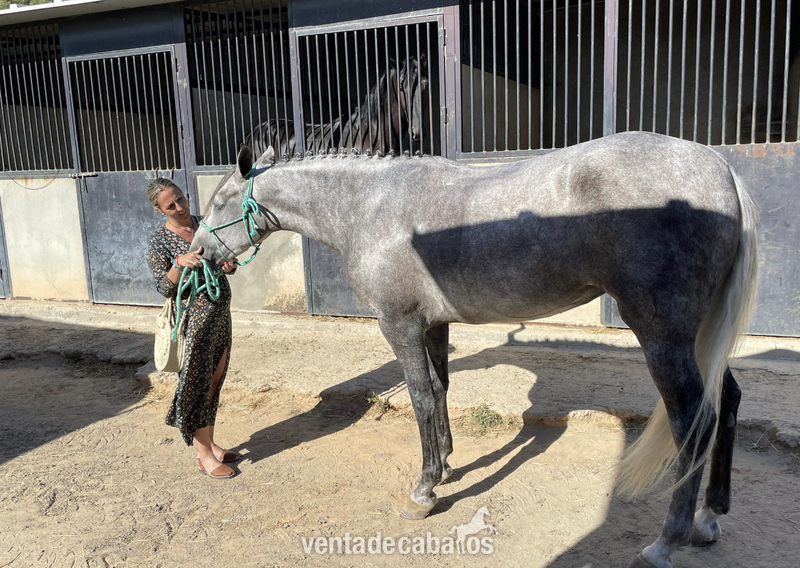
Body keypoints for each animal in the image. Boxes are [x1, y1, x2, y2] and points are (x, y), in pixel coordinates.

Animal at [192, 131, 759, 568]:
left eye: (219, 202)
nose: (195, 255)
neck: (368, 206)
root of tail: (720, 168)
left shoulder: (399, 324)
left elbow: (420, 397)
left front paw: (424, 491)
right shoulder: (434, 324)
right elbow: (441, 388)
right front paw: (445, 463)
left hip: (663, 336)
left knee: (694, 420)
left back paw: (667, 540)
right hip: (698, 337)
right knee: (727, 401)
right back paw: (710, 518)